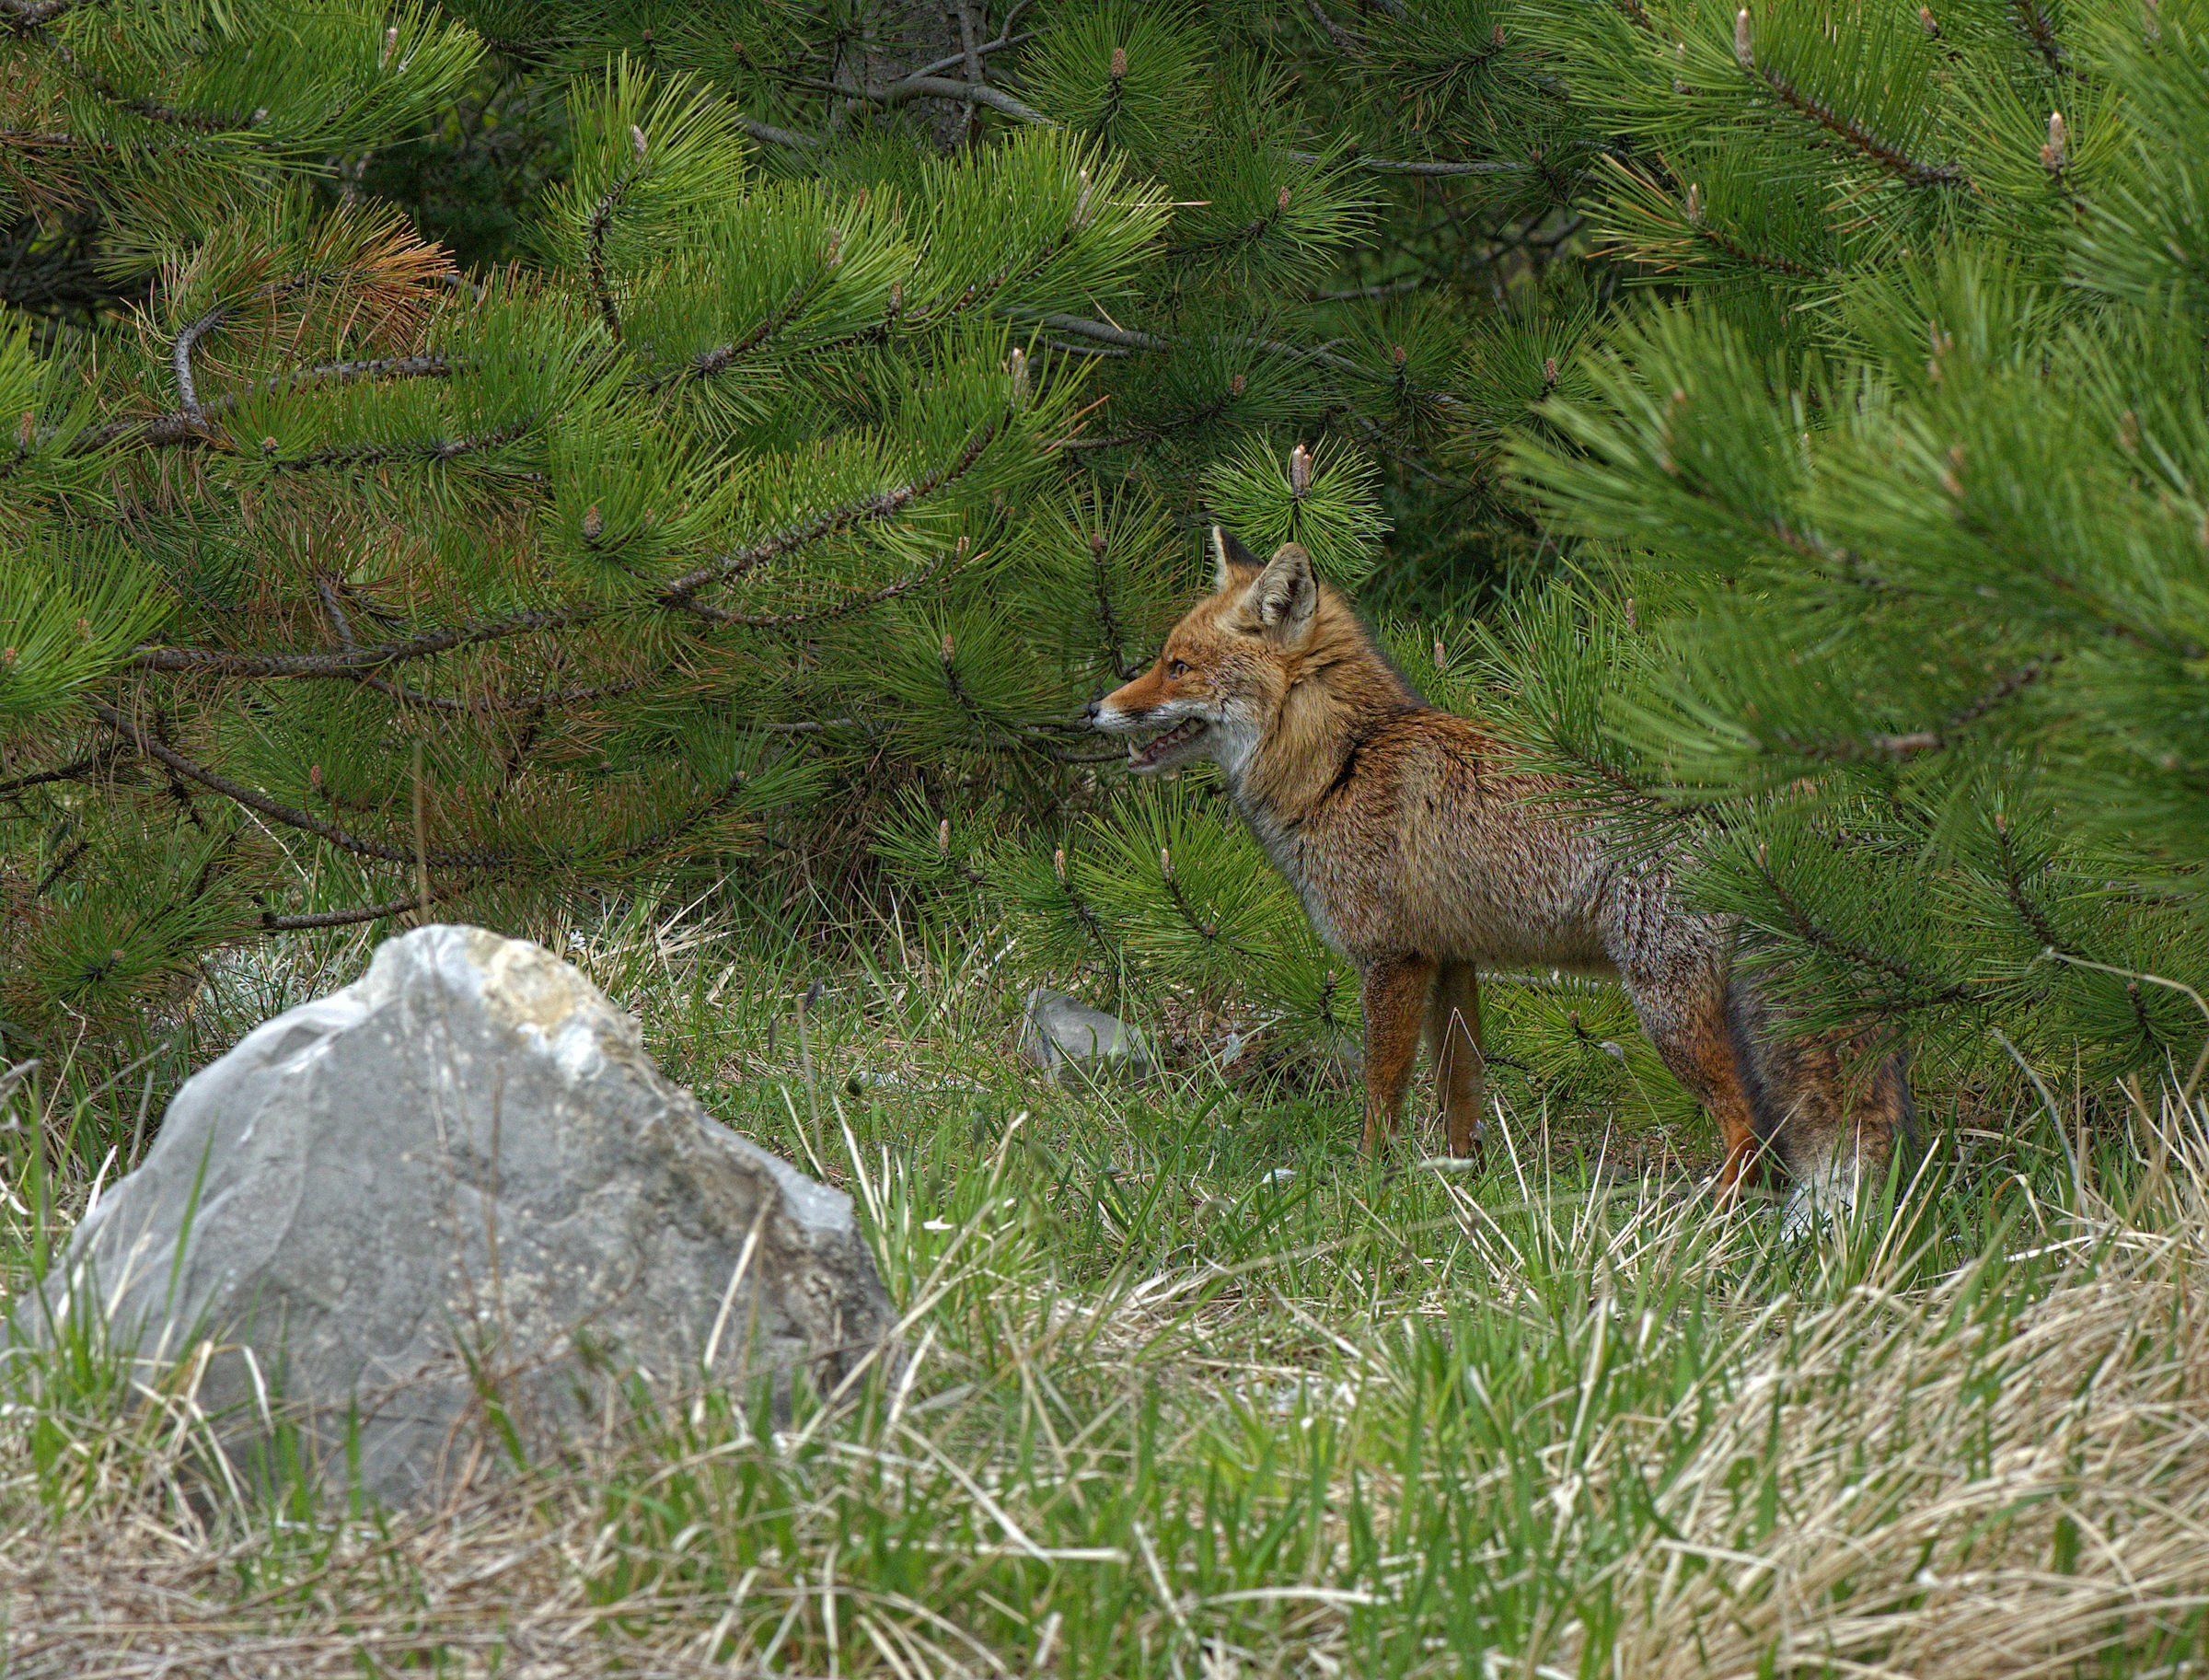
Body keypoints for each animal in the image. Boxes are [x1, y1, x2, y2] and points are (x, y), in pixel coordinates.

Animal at [1086, 528, 1915, 1230]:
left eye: (1176, 665)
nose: (1093, 707)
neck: (1341, 762)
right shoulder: (1449, 959)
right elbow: (1460, 1094)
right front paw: (1460, 1187)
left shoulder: (1391, 960)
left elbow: (1382, 1095)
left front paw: (1364, 1186)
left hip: (1667, 1006)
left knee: (1748, 1127)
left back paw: (1700, 1227)